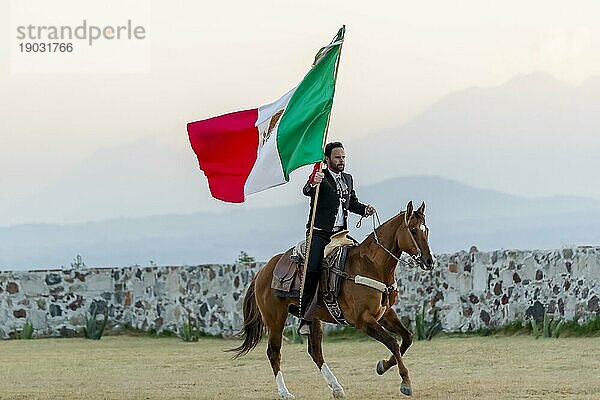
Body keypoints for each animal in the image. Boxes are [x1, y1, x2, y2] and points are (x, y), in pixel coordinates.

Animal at [229, 202, 432, 398]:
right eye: (413, 230)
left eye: (426, 230)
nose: (429, 261)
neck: (371, 266)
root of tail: (263, 271)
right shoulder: (363, 320)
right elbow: (392, 343)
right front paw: (405, 382)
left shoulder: (385, 314)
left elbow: (407, 338)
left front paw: (382, 366)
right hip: (275, 320)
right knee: (274, 351)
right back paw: (285, 392)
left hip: (312, 318)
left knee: (315, 351)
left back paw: (336, 387)